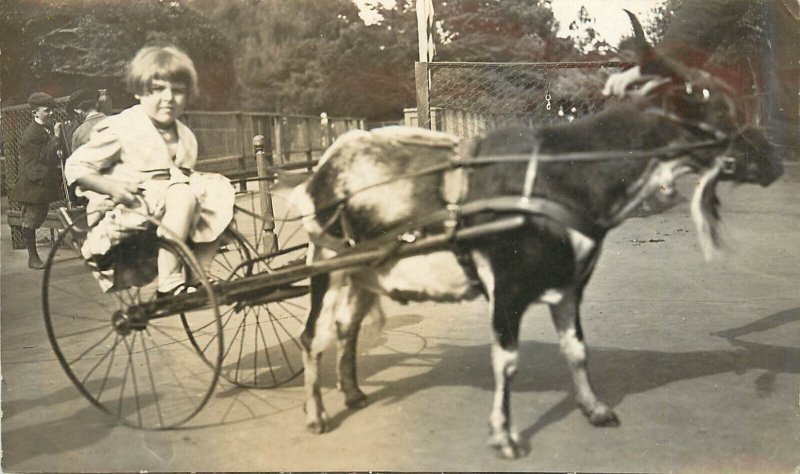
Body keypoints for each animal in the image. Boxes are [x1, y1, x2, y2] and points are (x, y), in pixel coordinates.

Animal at [288, 12, 780, 460]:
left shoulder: (569, 285)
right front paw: (505, 437)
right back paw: (316, 414)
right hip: (324, 262)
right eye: (708, 98)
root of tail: (328, 161)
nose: (772, 161)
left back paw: (353, 394)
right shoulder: (506, 287)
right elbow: (506, 362)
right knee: (313, 336)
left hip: (362, 271)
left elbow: (577, 349)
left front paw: (595, 409)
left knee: (347, 327)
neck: (561, 178)